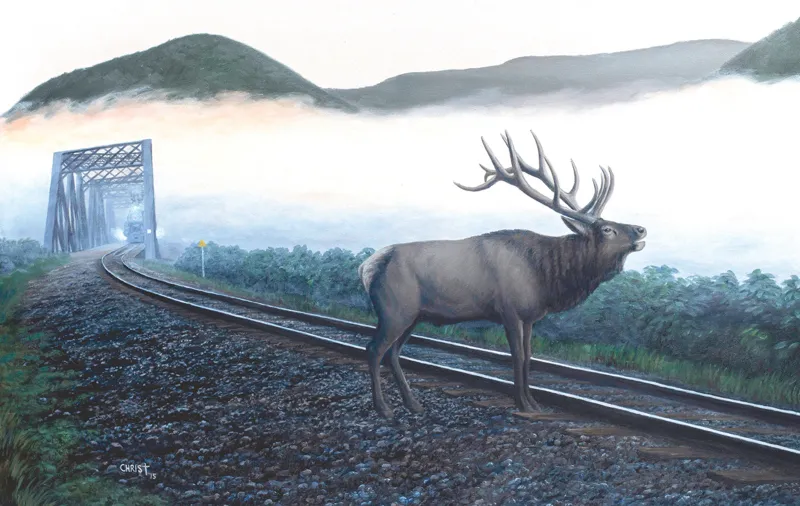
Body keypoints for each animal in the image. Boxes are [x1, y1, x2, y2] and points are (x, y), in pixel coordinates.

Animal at [358, 129, 647, 418]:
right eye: (607, 229)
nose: (641, 229)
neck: (546, 278)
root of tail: (368, 266)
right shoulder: (509, 310)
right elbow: (517, 356)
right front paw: (523, 404)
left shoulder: (530, 317)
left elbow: (529, 356)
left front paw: (533, 403)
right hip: (394, 309)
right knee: (374, 349)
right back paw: (383, 407)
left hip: (413, 315)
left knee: (393, 352)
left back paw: (413, 402)